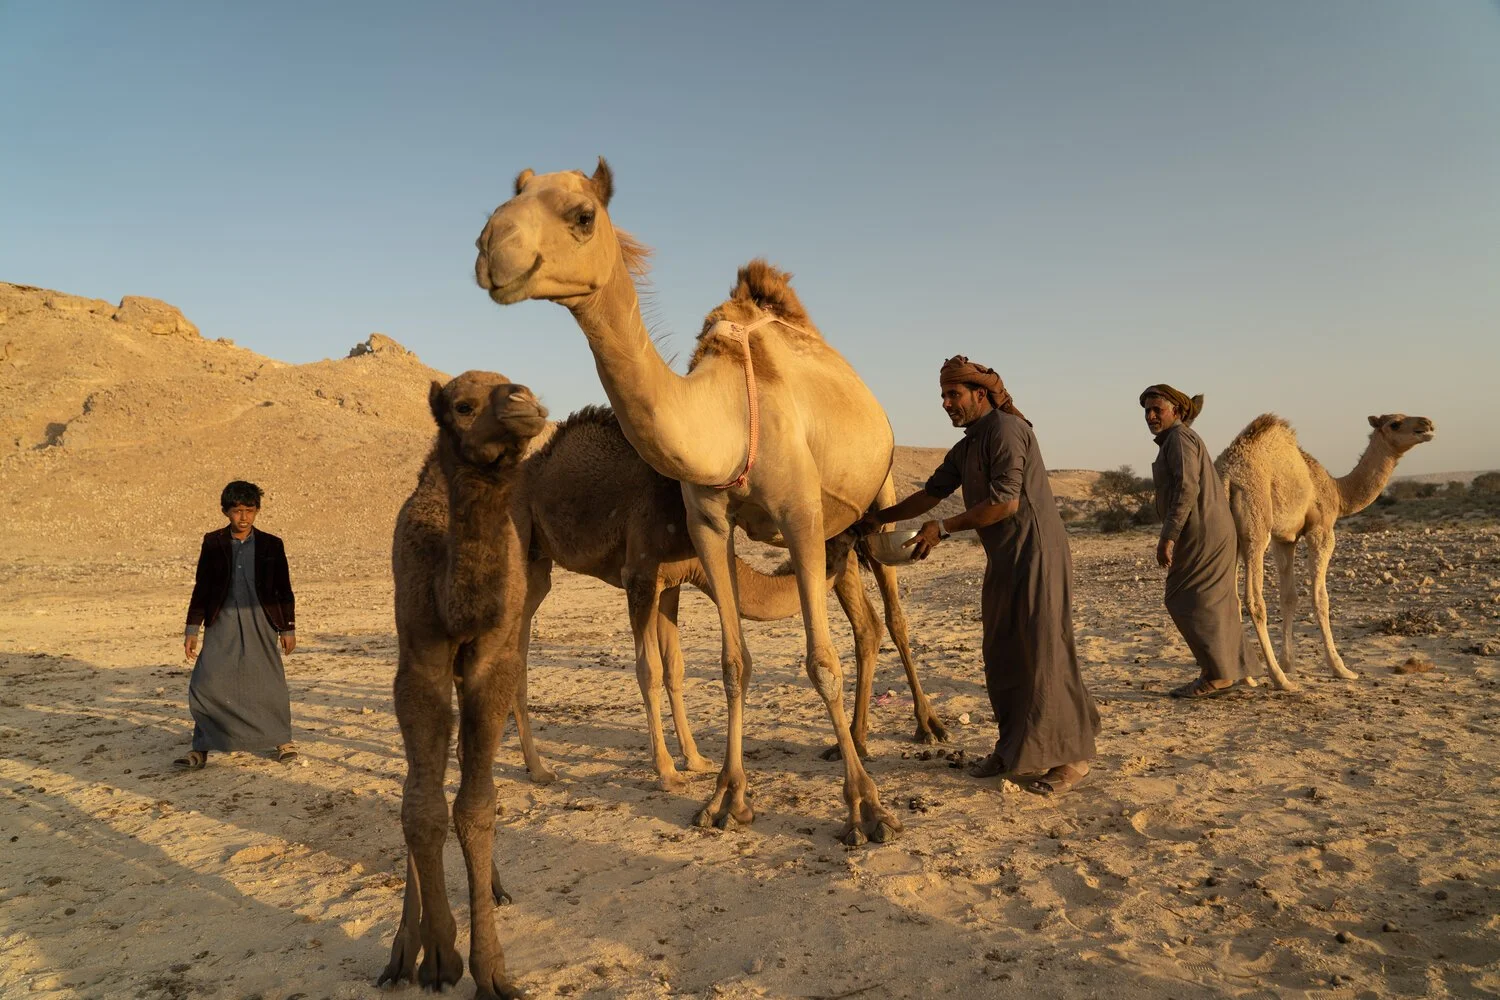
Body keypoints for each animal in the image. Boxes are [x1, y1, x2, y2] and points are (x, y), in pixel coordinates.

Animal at [383, 371, 546, 997]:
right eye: (464, 405)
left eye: (511, 385)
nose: (526, 402)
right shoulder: (420, 659)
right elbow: (421, 807)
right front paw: (436, 954)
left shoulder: (491, 663)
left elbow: (476, 806)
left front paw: (490, 969)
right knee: (419, 780)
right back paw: (407, 949)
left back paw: (495, 886)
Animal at [476, 158, 904, 845]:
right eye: (504, 202)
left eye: (583, 215)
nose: (492, 248)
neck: (724, 418)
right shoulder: (705, 525)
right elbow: (731, 663)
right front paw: (726, 797)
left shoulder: (799, 518)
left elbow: (818, 662)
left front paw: (865, 807)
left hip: (876, 498)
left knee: (889, 617)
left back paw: (919, 729)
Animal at [1217, 412, 1435, 691]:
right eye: (1394, 424)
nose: (1426, 424)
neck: (1338, 492)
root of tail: (1226, 476)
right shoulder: (1321, 530)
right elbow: (1321, 598)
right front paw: (1340, 668)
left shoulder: (1285, 539)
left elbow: (1289, 597)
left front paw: (1289, 663)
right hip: (1256, 527)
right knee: (1254, 600)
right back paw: (1280, 680)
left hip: (1230, 536)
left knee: (1231, 598)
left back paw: (1247, 676)